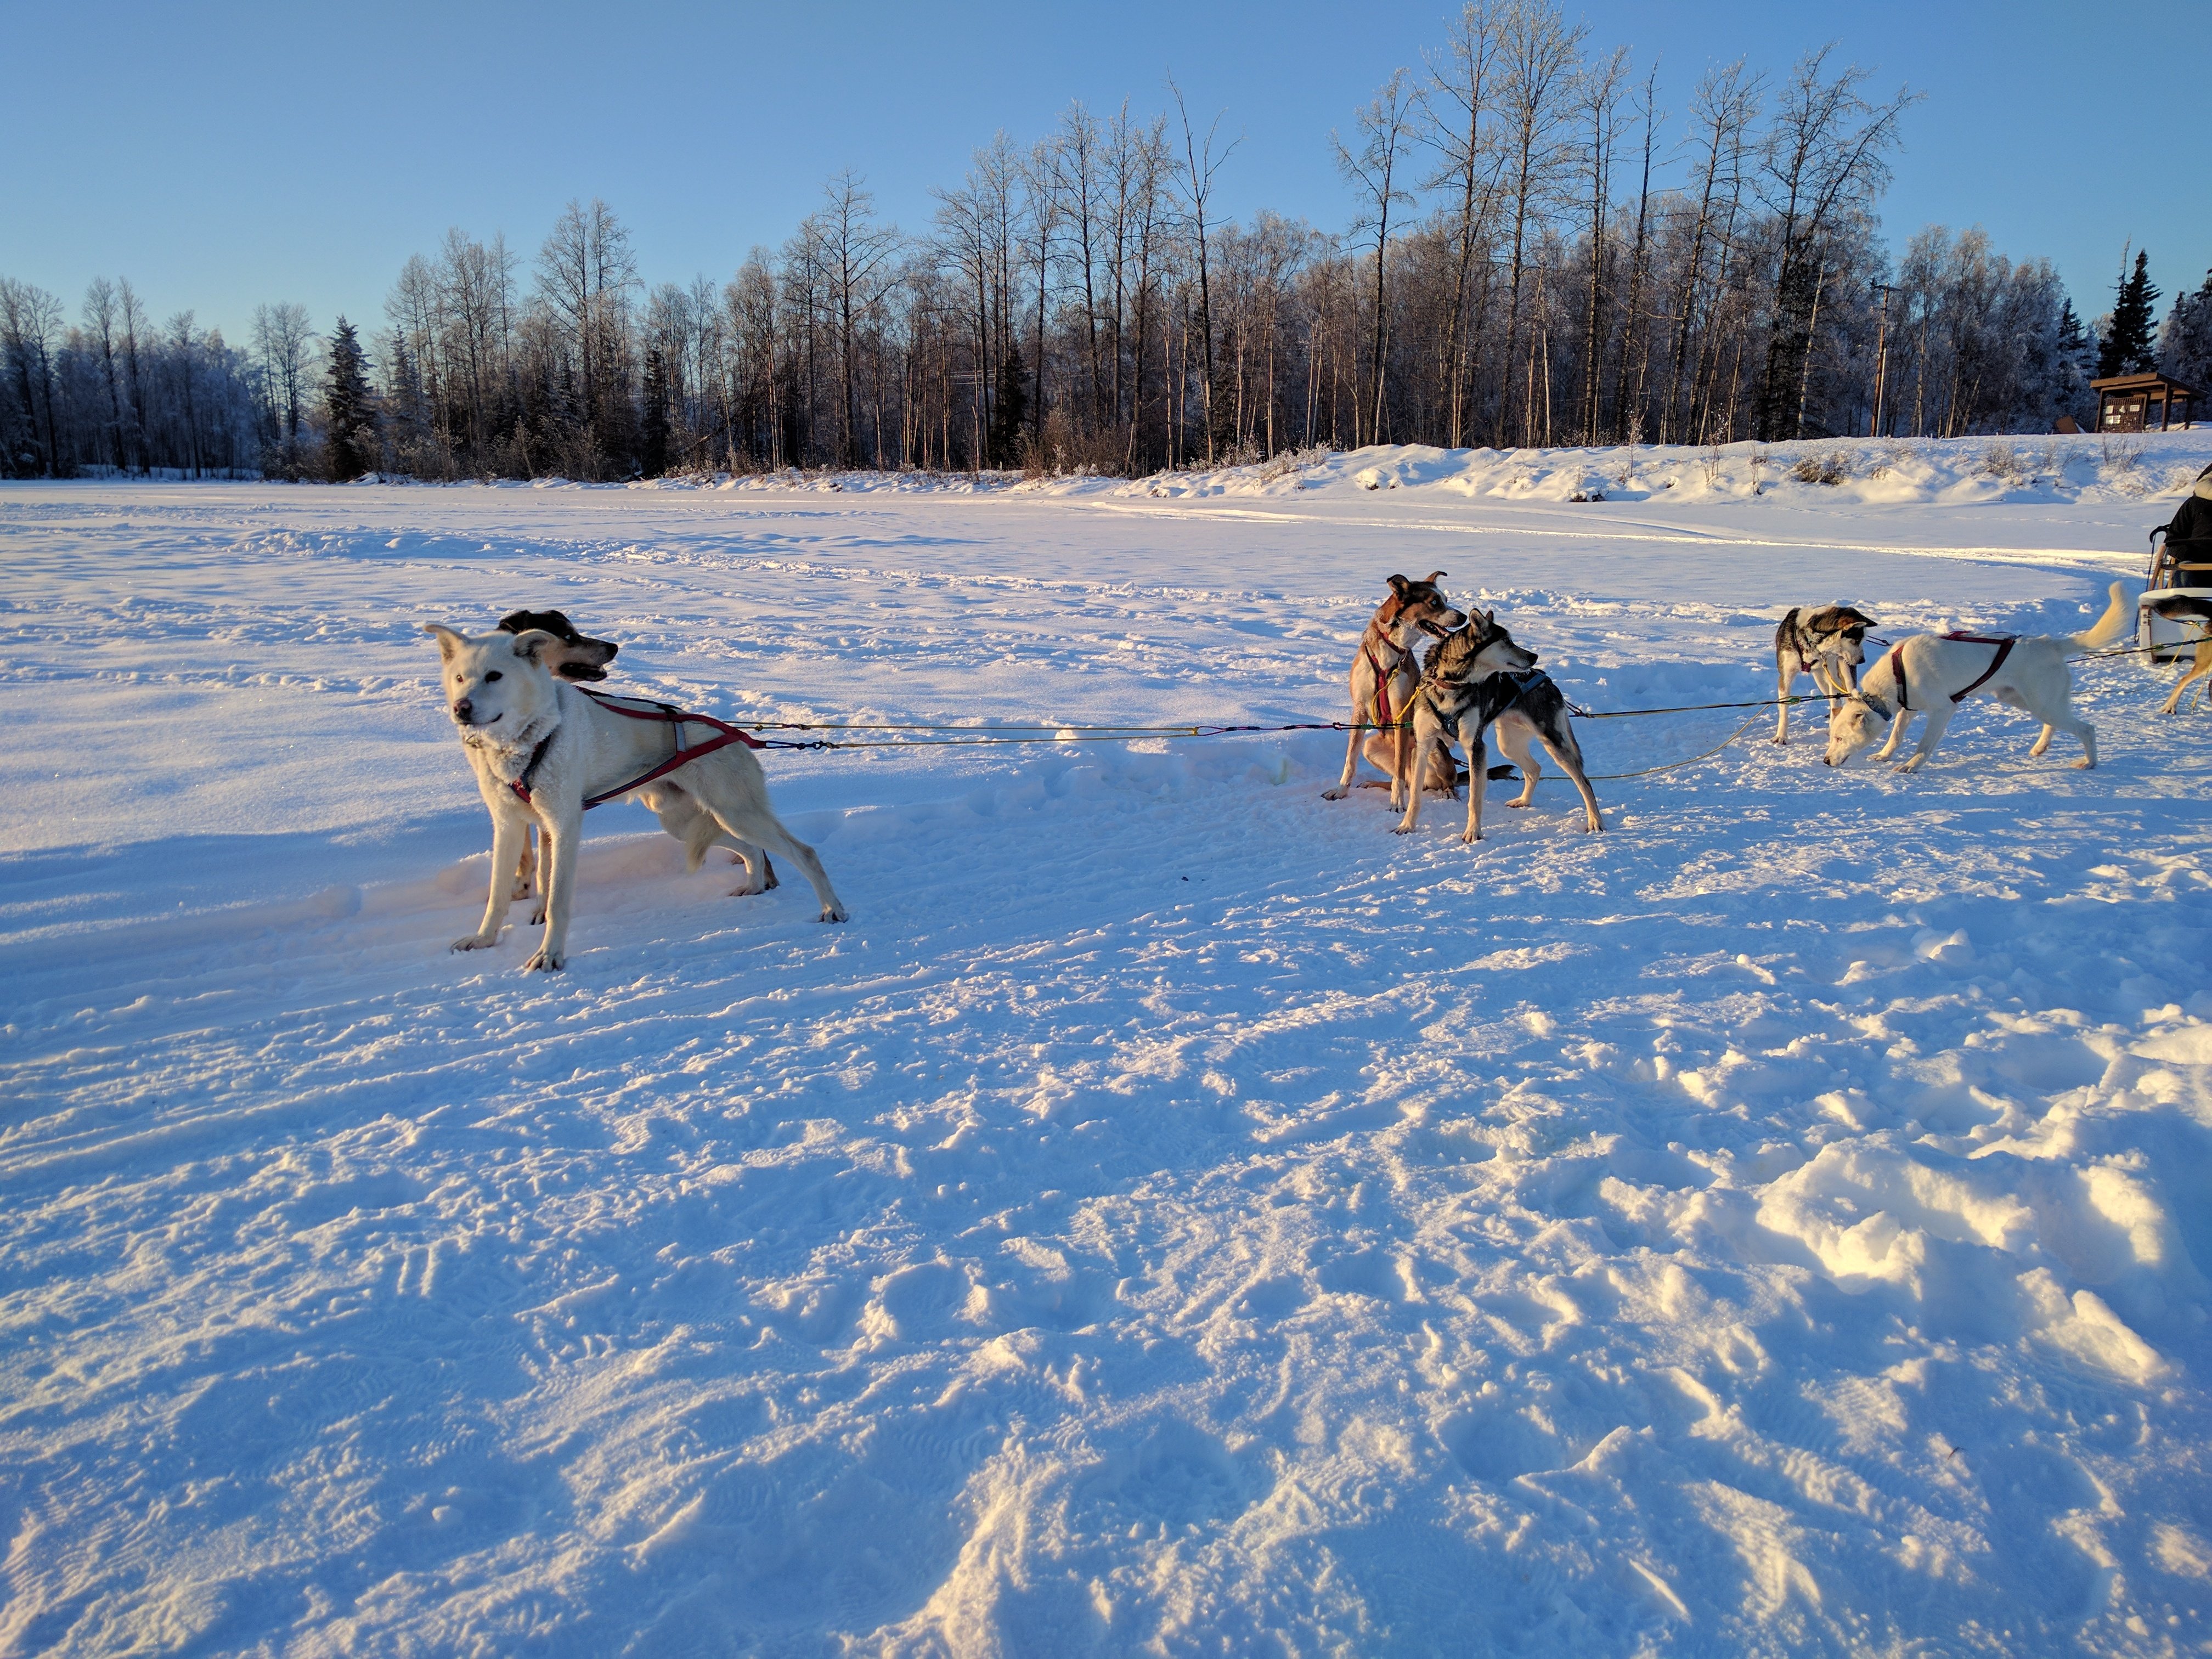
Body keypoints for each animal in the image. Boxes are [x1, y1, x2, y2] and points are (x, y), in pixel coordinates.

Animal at [425, 619, 845, 973]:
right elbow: (497, 895)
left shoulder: (563, 827)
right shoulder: (508, 826)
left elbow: (557, 900)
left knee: (804, 853)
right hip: (686, 823)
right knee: (752, 850)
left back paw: (833, 909)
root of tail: (734, 734)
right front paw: (484, 939)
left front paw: (550, 955)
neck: (530, 738)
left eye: (494, 676)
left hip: (736, 813)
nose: (461, 708)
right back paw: (755, 885)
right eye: (460, 677)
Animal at [1327, 575, 1469, 809]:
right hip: (1370, 747)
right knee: (1409, 780)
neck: (1390, 648)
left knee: (1446, 779)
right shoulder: (1359, 710)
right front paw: (1341, 791)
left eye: (1446, 600)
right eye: (1434, 602)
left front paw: (1398, 803)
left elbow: (1400, 767)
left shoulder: (1400, 713)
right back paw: (1373, 784)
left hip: (1432, 748)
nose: (1464, 616)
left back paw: (1448, 792)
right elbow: (1350, 761)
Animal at [1389, 610, 1601, 845]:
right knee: (1535, 769)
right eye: (1507, 641)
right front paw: (1407, 825)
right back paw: (1524, 801)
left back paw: (1595, 821)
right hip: (1508, 744)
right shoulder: (1424, 746)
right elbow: (1415, 795)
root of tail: (1546, 679)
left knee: (1584, 781)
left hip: (1553, 744)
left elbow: (1474, 799)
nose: (1534, 656)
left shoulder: (1475, 748)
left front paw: (1473, 833)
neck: (1451, 684)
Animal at [1769, 606, 1876, 743]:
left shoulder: (1833, 676)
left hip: (1846, 676)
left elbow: (1836, 704)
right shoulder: (1785, 676)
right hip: (1821, 680)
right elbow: (1784, 708)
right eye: (1856, 640)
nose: (1862, 660)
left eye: (1862, 640)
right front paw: (1781, 736)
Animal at [1822, 579, 2132, 778]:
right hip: (2022, 700)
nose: (1825, 761)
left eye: (1839, 738)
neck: (1900, 673)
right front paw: (1885, 755)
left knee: (2087, 729)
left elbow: (1924, 745)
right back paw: (2041, 747)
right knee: (2052, 724)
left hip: (2043, 703)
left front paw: (1912, 765)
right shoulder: (1907, 710)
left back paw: (2089, 762)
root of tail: (2048, 644)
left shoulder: (1943, 710)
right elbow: (1896, 737)